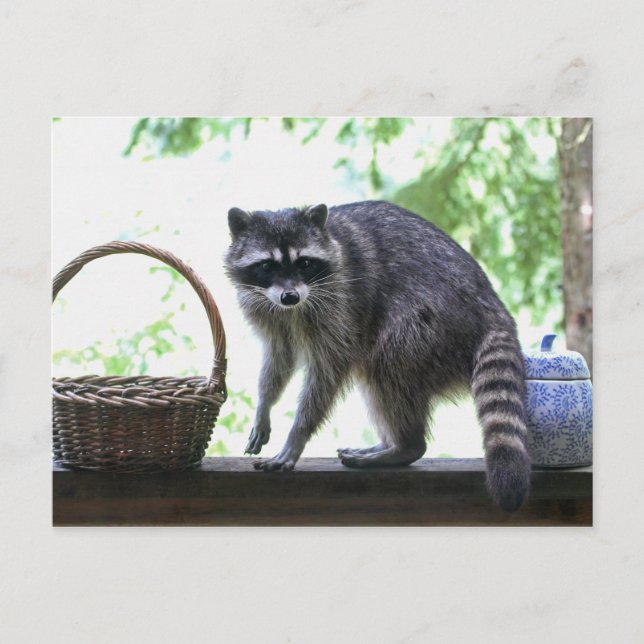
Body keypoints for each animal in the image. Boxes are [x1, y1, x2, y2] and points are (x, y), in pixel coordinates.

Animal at [224, 201, 530, 511]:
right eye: (266, 265)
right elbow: (279, 359)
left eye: (305, 263)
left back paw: (406, 445)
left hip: (433, 323)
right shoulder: (268, 311)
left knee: (388, 365)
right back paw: (389, 442)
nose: (290, 297)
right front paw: (264, 406)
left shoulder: (342, 302)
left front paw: (297, 436)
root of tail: (494, 309)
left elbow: (329, 370)